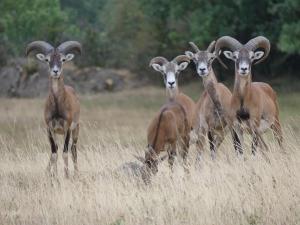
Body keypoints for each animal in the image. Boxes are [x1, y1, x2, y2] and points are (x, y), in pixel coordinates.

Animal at [25, 40, 81, 178]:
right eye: (47, 59)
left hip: (76, 130)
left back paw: (76, 174)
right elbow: (54, 152)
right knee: (55, 150)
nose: (55, 71)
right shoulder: (50, 129)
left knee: (73, 149)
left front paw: (66, 176)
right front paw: (54, 177)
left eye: (63, 59)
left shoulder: (67, 128)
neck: (57, 107)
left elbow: (65, 152)